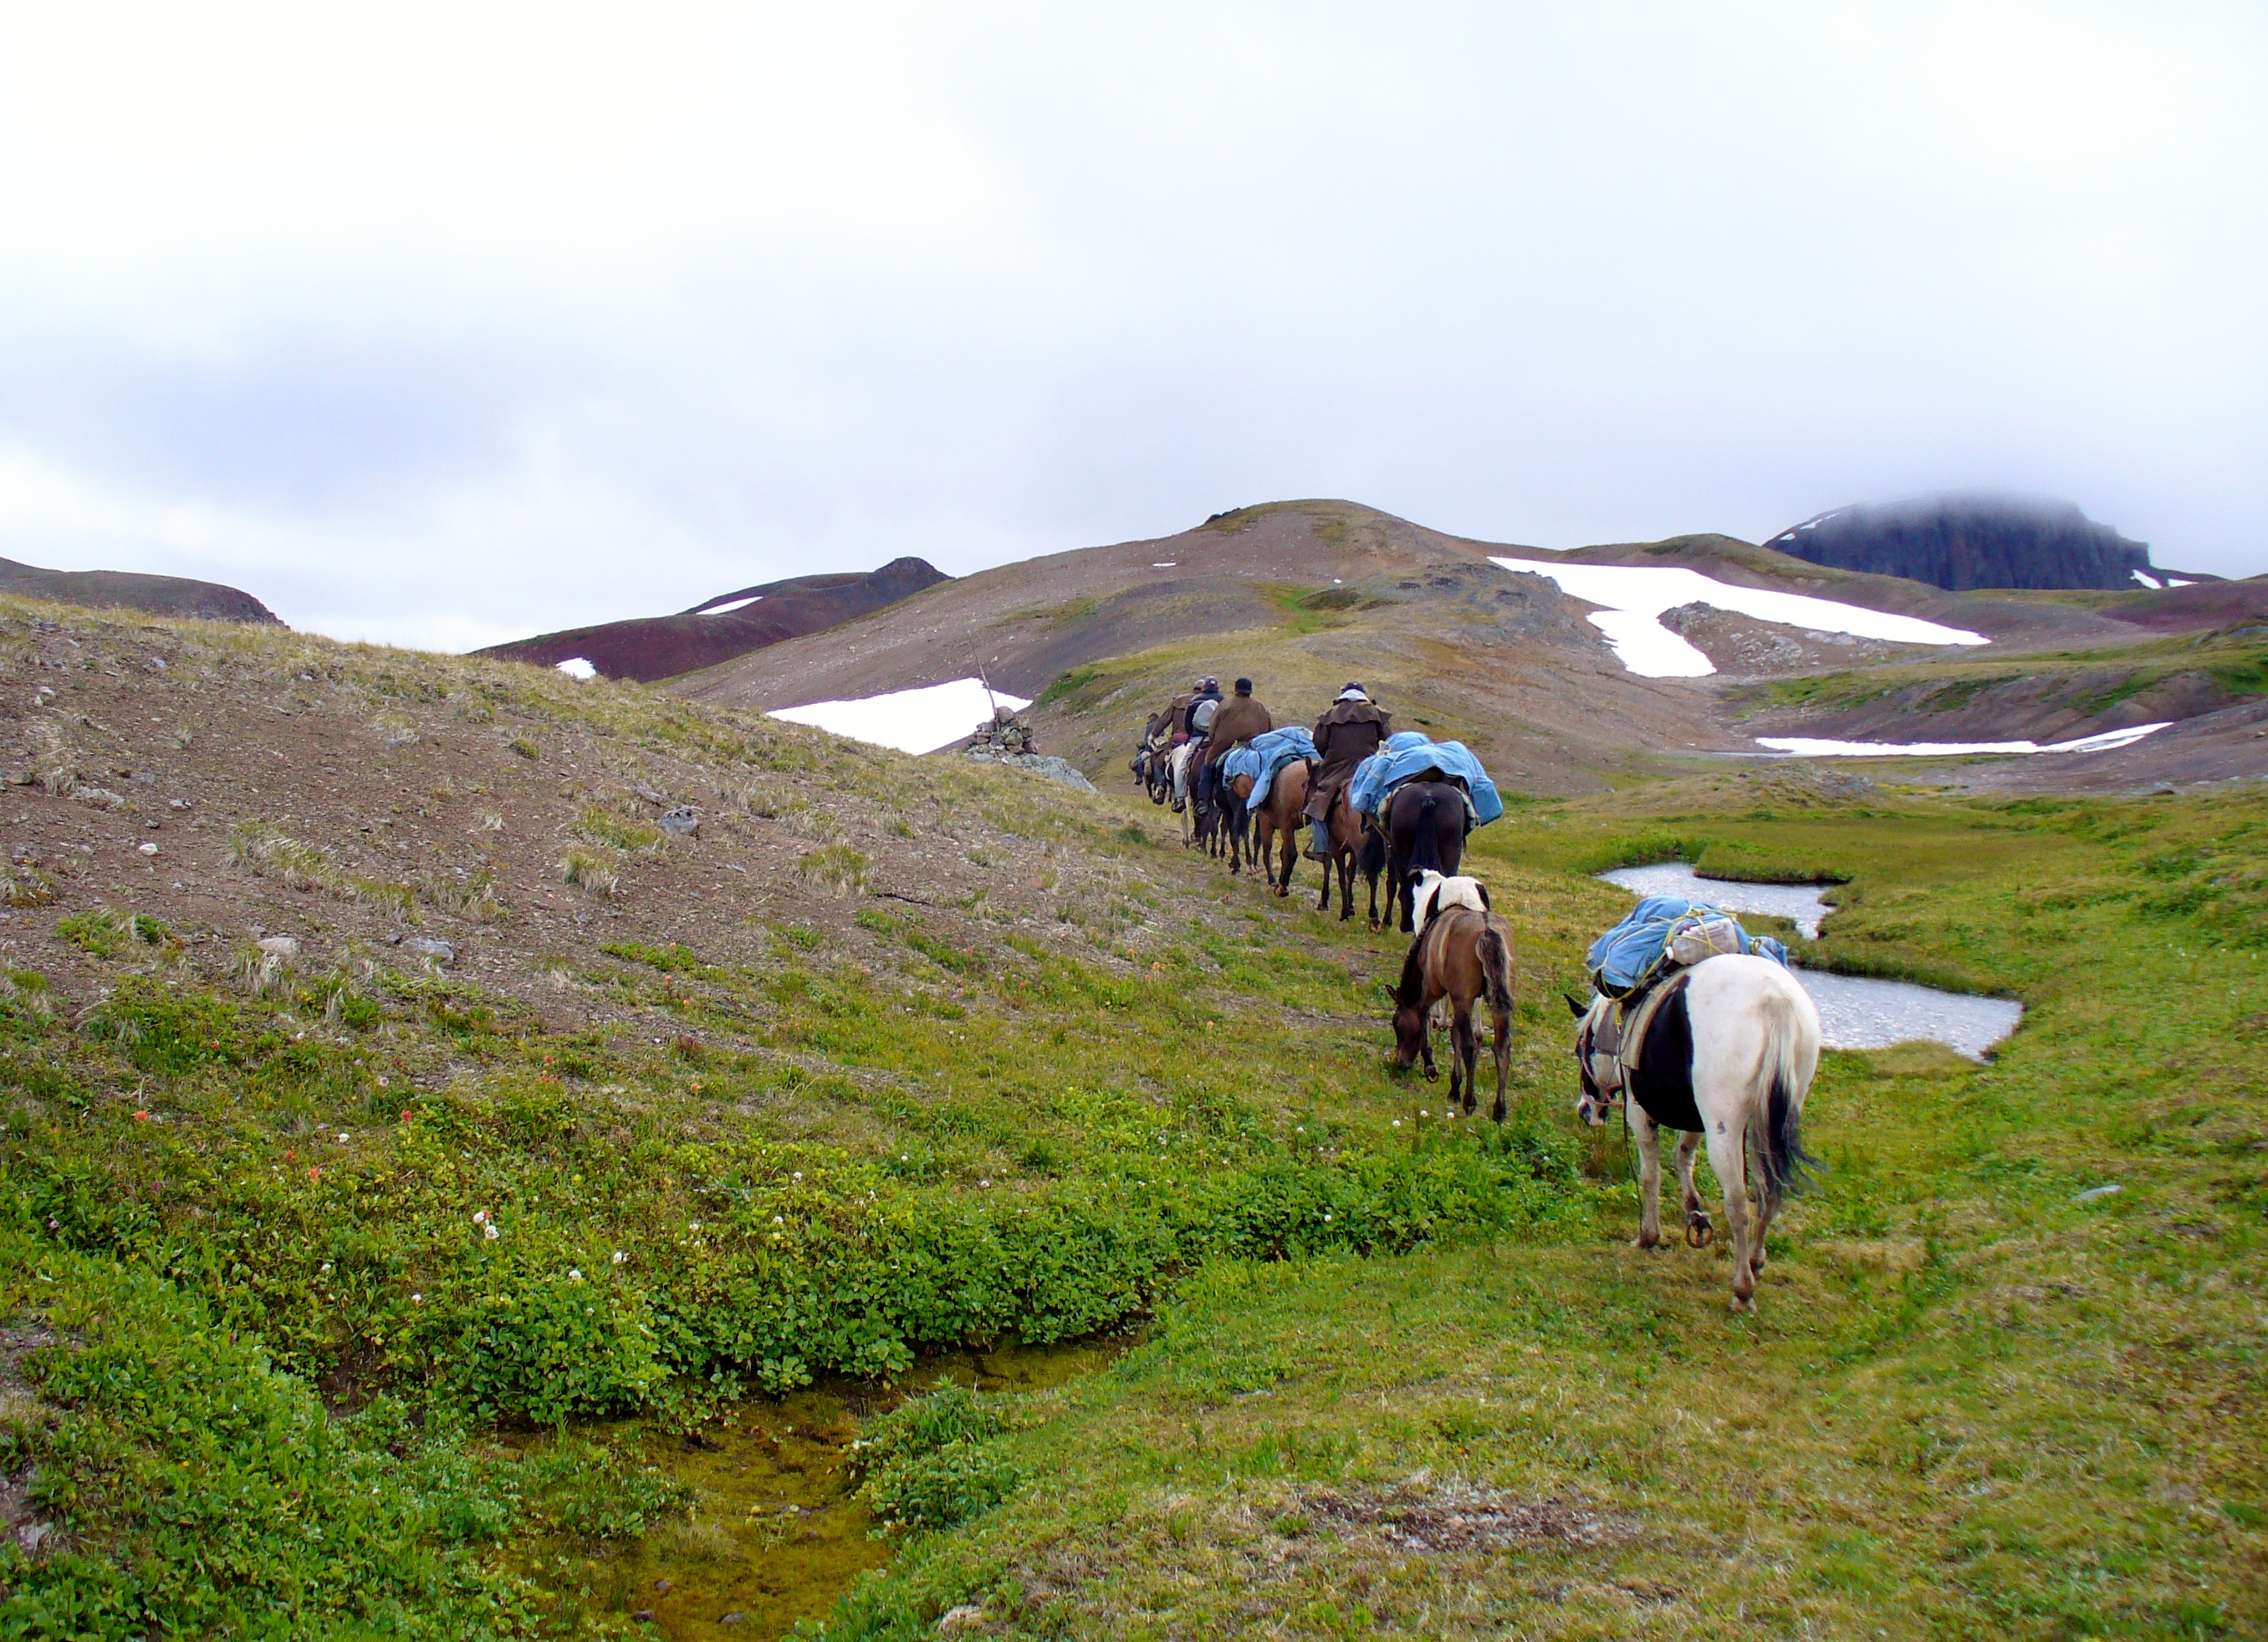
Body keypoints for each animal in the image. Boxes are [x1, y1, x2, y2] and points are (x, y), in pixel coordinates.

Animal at [1387, 902, 1515, 1120]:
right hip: (1498, 1004)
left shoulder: (1434, 990)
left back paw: (1469, 1102)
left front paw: (1431, 1068)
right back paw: (1499, 1110)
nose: (1401, 1062)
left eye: (1396, 1023)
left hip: (1463, 998)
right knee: (1502, 1047)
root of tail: (1487, 931)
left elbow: (1425, 1018)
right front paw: (1454, 1085)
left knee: (1470, 1046)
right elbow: (1455, 1034)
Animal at [1578, 956, 1823, 1315]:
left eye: (1582, 1045)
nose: (1586, 1111)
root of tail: (1775, 999)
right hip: (1769, 1120)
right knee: (1768, 1192)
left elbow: (1650, 1174)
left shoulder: (1639, 1112)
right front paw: (1695, 1215)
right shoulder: (1697, 1117)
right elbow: (1682, 1155)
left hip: (1724, 1124)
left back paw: (1742, 1290)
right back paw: (1755, 1261)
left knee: (1737, 1202)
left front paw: (1648, 1236)